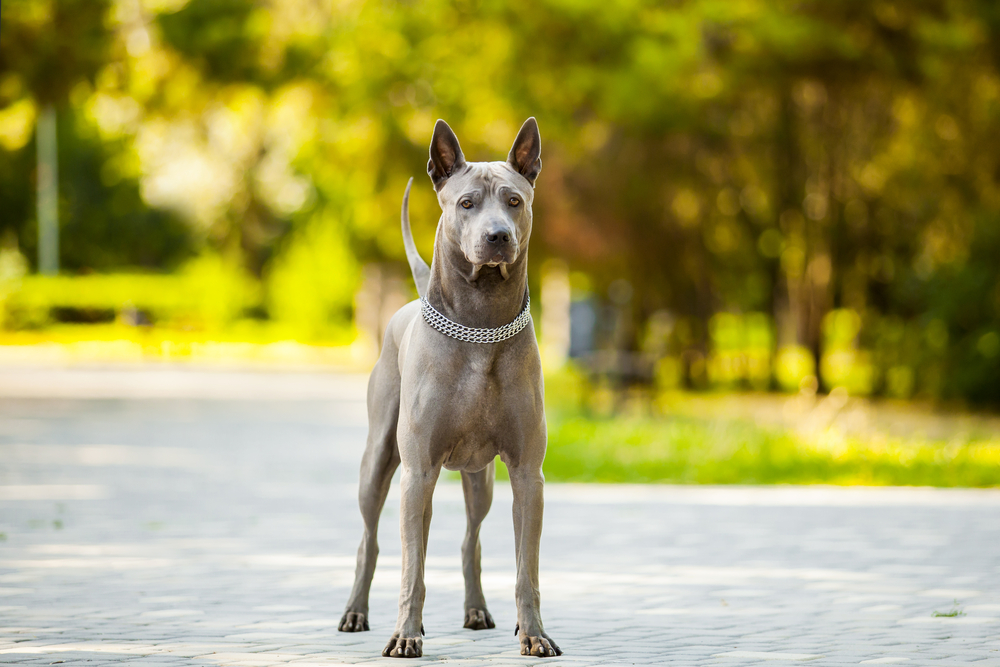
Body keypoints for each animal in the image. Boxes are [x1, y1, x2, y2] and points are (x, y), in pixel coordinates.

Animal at [338, 118, 564, 656]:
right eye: (466, 203)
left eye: (514, 200)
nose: (498, 236)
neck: (480, 327)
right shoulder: (418, 471)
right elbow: (412, 569)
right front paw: (406, 635)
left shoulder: (528, 474)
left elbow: (527, 570)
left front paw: (535, 634)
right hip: (382, 463)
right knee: (373, 540)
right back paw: (356, 612)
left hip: (479, 479)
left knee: (470, 539)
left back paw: (476, 609)